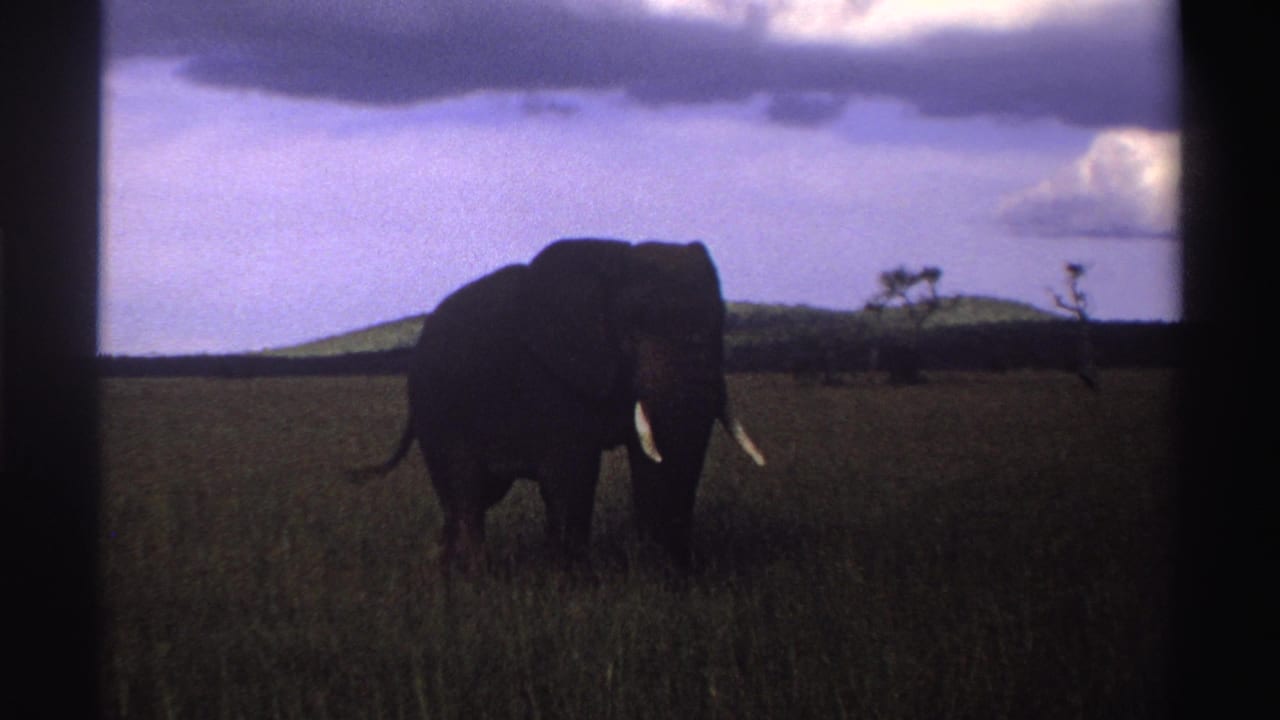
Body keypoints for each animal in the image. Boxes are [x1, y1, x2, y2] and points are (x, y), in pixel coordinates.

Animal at [354, 238, 765, 569]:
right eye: (633, 326)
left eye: (721, 323)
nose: (685, 568)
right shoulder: (552, 379)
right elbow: (572, 472)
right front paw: (572, 581)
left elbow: (650, 459)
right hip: (438, 409)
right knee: (465, 490)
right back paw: (471, 574)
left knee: (478, 494)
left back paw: (441, 565)